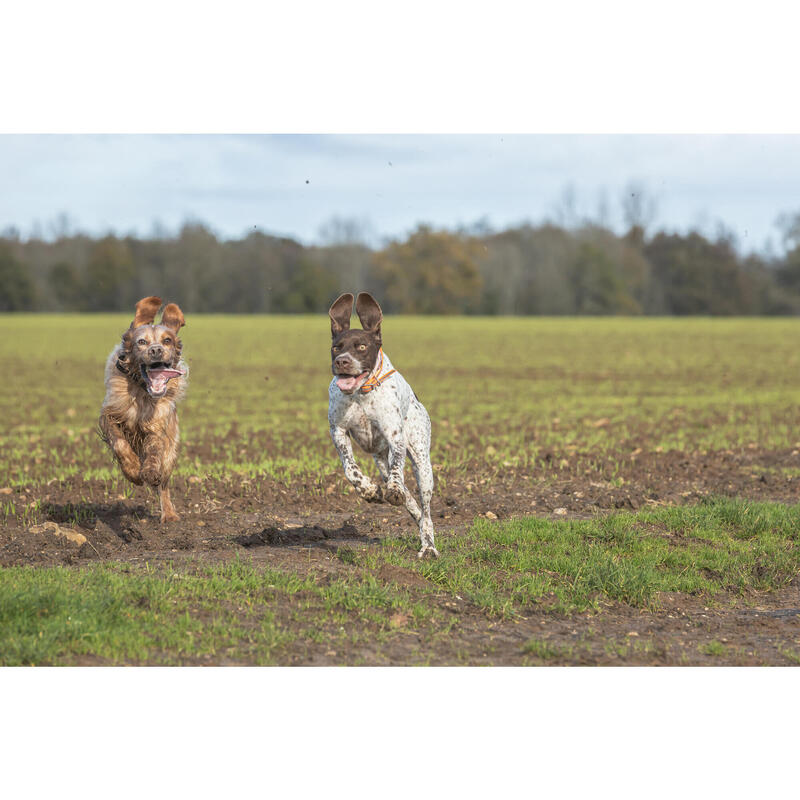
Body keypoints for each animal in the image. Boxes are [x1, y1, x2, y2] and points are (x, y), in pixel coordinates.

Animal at [98, 296, 188, 520]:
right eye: (141, 342)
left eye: (167, 340)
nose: (155, 350)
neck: (141, 394)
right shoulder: (108, 415)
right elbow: (120, 444)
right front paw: (132, 470)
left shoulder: (157, 426)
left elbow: (154, 452)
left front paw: (149, 472)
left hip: (171, 450)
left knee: (164, 484)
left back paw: (169, 515)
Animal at [324, 290, 438, 560]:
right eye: (336, 347)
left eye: (362, 346)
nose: (342, 362)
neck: (360, 393)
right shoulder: (338, 432)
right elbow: (351, 470)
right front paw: (369, 491)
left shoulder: (395, 437)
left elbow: (397, 472)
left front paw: (393, 490)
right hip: (380, 460)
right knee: (413, 504)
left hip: (422, 464)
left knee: (426, 511)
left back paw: (428, 545)